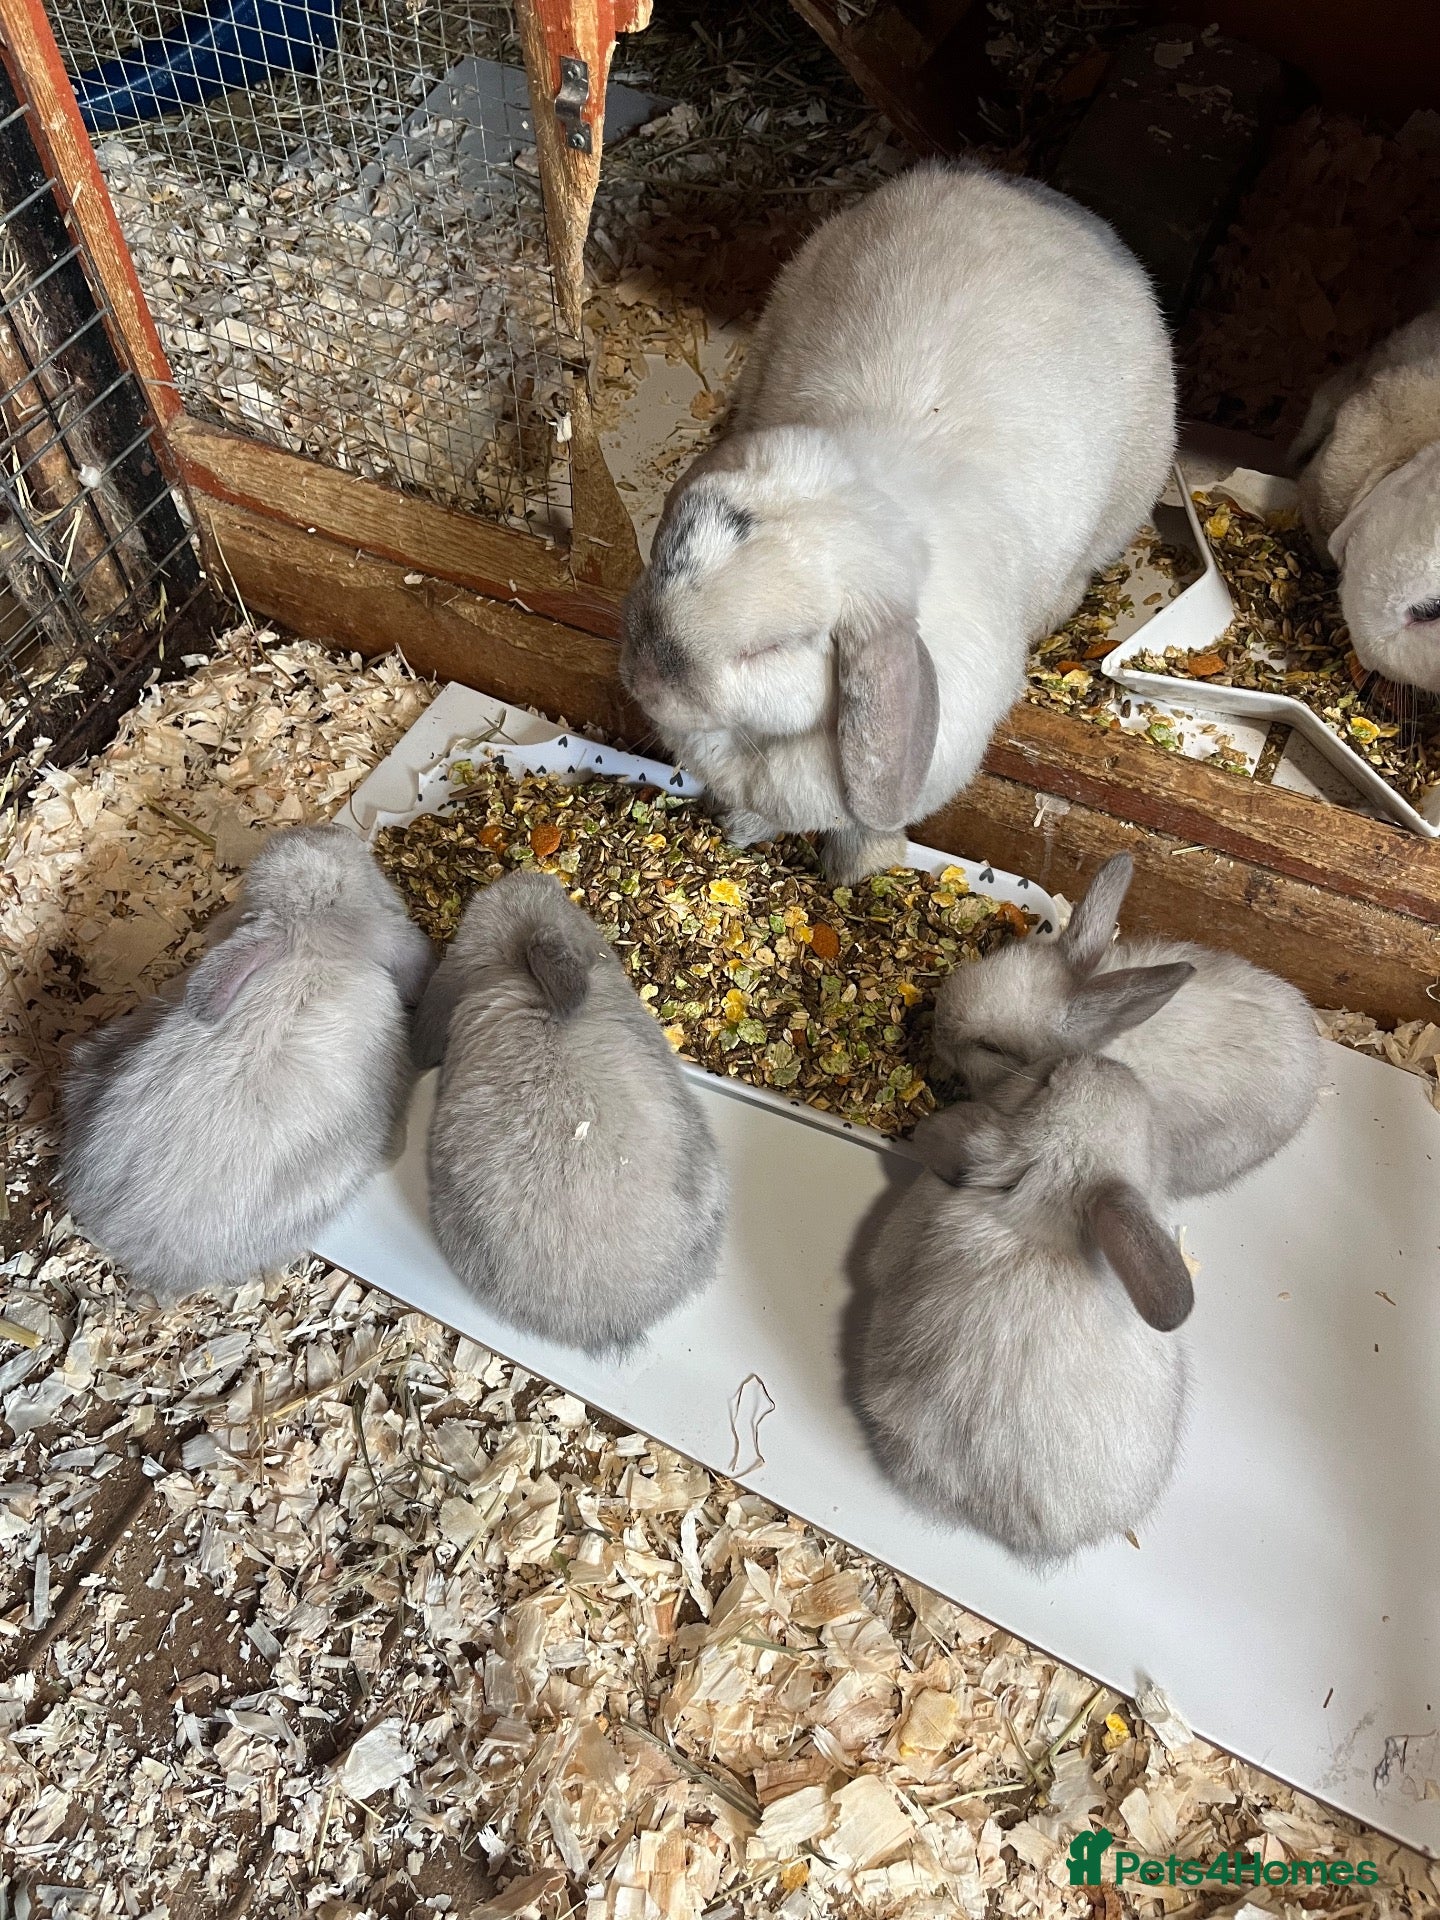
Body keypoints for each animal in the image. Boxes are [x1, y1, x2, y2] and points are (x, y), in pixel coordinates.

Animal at [620, 159, 1175, 883]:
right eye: (665, 559)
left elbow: (866, 826)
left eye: (771, 649)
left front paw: (860, 873)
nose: (643, 679)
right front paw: (742, 826)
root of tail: (1025, 191)